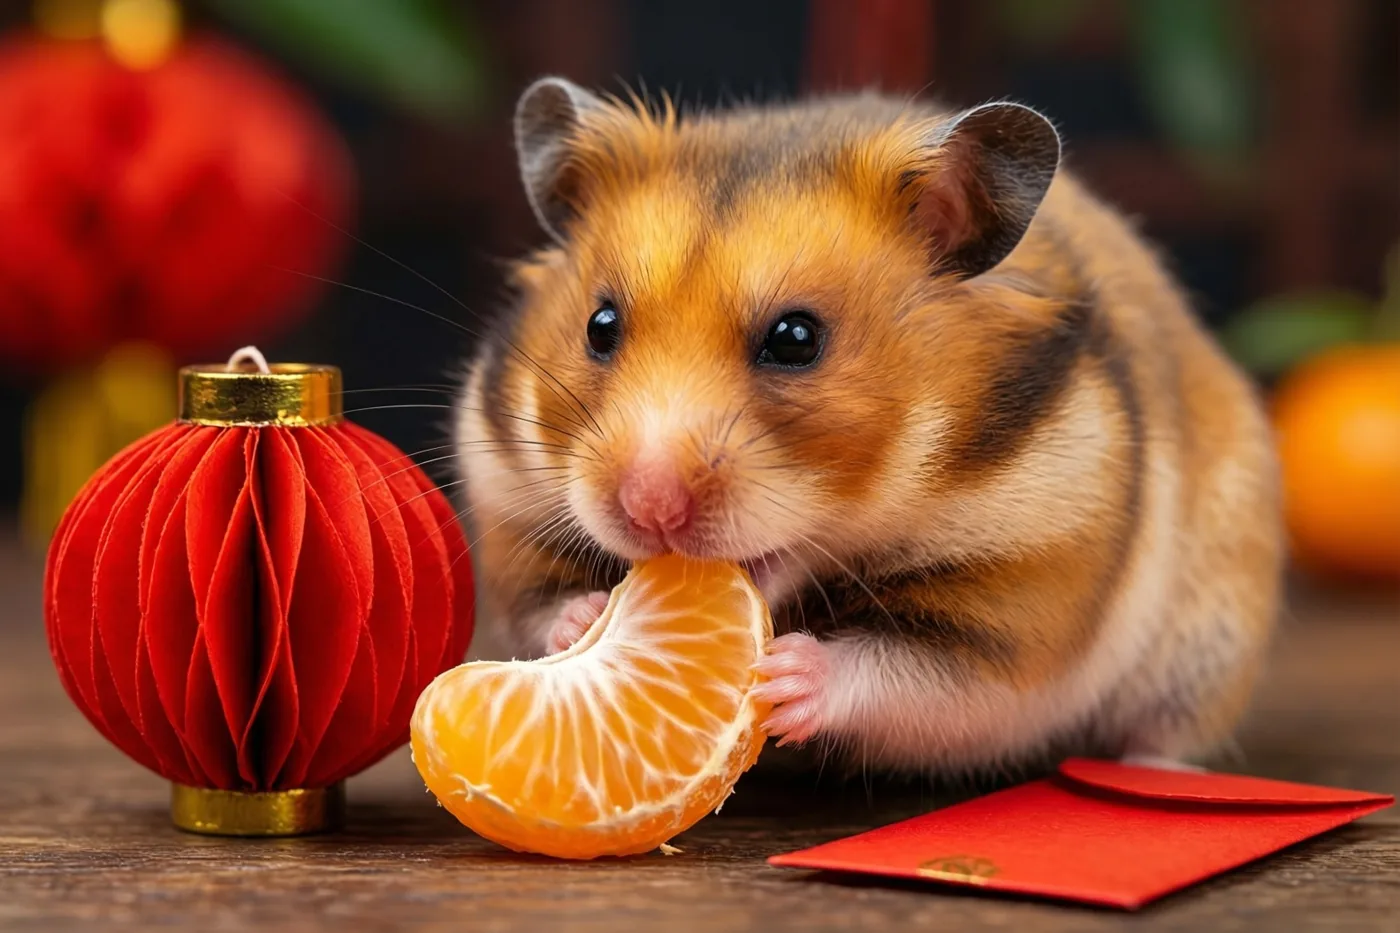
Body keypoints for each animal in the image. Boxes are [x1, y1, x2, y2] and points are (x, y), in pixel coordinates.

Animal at [452, 76, 1284, 776]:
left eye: (796, 339)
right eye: (599, 326)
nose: (647, 508)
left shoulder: (1021, 594)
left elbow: (912, 674)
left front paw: (786, 674)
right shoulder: (509, 500)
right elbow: (540, 602)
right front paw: (586, 619)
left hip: (1207, 647)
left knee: (1163, 733)